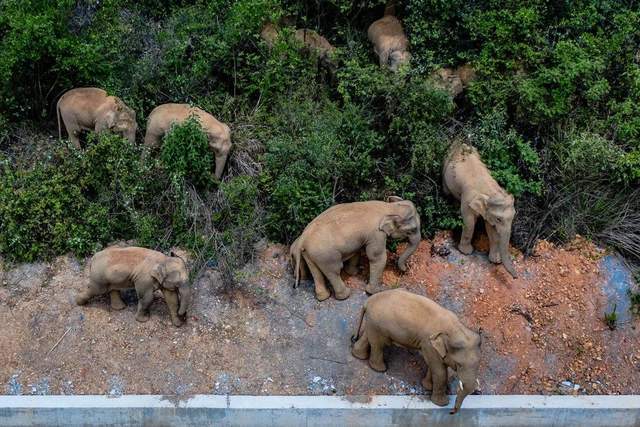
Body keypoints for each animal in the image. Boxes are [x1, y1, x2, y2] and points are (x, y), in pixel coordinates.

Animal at [290, 197, 420, 300]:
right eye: (412, 230)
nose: (405, 270)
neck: (389, 207)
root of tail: (303, 238)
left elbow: (357, 251)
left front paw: (355, 272)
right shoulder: (376, 234)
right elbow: (377, 257)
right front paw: (376, 291)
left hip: (310, 254)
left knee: (316, 272)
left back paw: (323, 297)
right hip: (326, 255)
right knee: (334, 271)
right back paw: (345, 295)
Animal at [352, 290, 482, 412]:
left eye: (478, 364)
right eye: (459, 365)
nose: (452, 412)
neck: (456, 329)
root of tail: (368, 301)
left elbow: (433, 366)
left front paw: (428, 387)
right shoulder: (429, 344)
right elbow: (440, 371)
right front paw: (441, 404)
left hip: (373, 323)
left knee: (368, 337)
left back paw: (358, 355)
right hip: (378, 324)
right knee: (378, 344)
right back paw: (380, 369)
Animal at [444, 142, 520, 280]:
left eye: (513, 217)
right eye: (499, 219)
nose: (515, 277)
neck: (490, 191)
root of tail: (459, 142)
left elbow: (490, 228)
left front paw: (495, 260)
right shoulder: (468, 199)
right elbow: (469, 222)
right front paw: (466, 252)